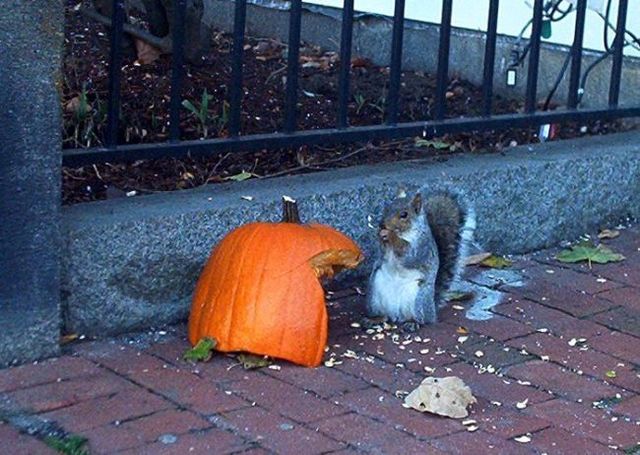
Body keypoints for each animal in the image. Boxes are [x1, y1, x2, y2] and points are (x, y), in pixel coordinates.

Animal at [367, 188, 476, 329]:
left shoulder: (422, 246)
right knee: (384, 315)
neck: (405, 233)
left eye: (404, 215)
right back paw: (375, 319)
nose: (382, 224)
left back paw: (412, 323)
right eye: (386, 208)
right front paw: (380, 235)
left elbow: (410, 256)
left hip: (418, 299)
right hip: (374, 295)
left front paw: (390, 235)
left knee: (421, 319)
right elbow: (382, 253)